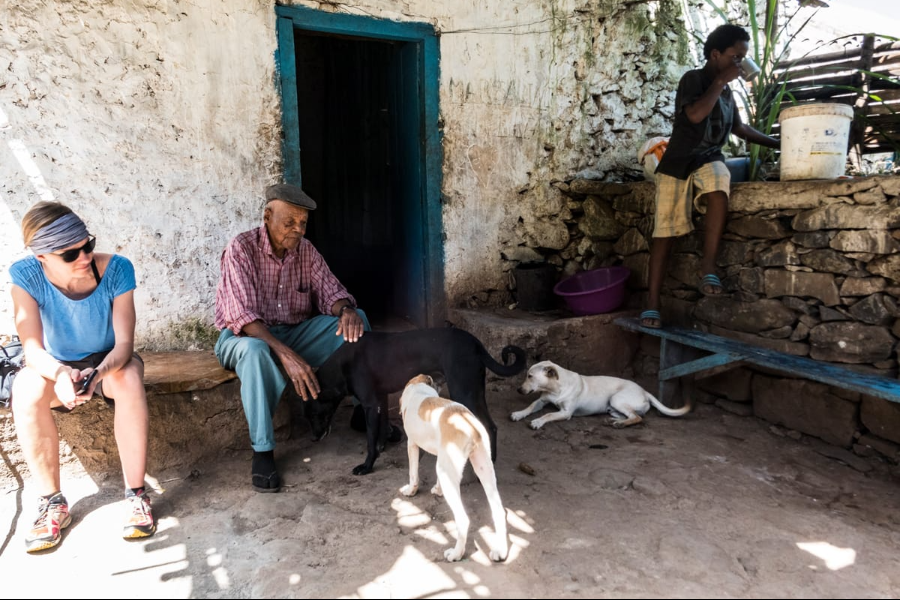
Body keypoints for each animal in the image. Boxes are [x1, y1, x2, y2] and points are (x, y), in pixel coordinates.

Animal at [306, 328, 528, 474]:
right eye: (309, 416)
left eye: (316, 413)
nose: (314, 438)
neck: (344, 363)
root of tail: (474, 342)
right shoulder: (380, 400)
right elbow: (380, 431)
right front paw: (380, 448)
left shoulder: (370, 403)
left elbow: (370, 440)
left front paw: (367, 465)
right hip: (475, 392)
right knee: (492, 426)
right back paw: (491, 460)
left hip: (464, 393)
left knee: (486, 426)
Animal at [400, 376, 510, 564]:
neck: (418, 388)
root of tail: (470, 426)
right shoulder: (441, 455)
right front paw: (437, 490)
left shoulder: (412, 444)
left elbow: (413, 473)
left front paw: (410, 491)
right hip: (483, 469)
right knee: (498, 512)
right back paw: (500, 552)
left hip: (450, 477)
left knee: (463, 520)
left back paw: (456, 554)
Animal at [510, 358, 692, 428]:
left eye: (530, 376)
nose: (518, 390)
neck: (555, 388)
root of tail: (645, 391)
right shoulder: (542, 400)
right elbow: (531, 405)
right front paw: (519, 413)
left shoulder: (566, 412)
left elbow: (548, 415)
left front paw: (538, 421)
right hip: (612, 406)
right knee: (631, 415)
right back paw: (613, 420)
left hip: (617, 399)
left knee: (637, 417)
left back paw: (620, 424)